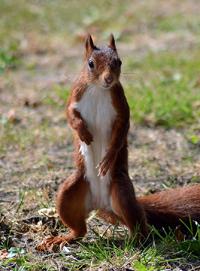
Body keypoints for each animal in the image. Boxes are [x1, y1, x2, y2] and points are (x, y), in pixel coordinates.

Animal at [38, 35, 200, 252]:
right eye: (91, 64)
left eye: (119, 61)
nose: (109, 79)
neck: (99, 89)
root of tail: (100, 203)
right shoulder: (75, 95)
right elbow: (70, 115)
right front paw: (84, 133)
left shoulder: (121, 104)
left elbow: (121, 130)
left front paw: (108, 158)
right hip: (68, 194)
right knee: (79, 229)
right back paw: (62, 239)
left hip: (122, 193)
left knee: (140, 225)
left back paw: (136, 242)